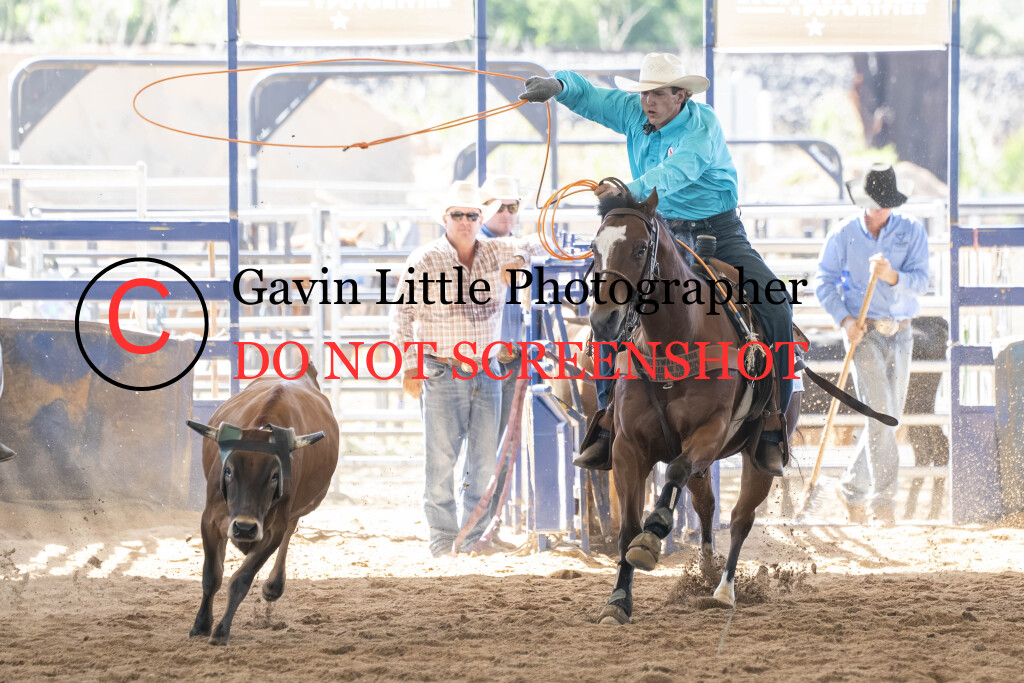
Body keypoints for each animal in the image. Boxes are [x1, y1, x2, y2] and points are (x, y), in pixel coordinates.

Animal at [185, 364, 339, 646]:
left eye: (275, 476)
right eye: (228, 471)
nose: (245, 528)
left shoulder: (272, 531)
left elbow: (241, 580)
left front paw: (221, 630)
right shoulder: (210, 520)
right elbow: (212, 576)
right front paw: (201, 625)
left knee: (289, 531)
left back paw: (273, 586)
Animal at [587, 186, 799, 625]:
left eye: (640, 249)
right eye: (594, 249)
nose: (603, 320)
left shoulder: (709, 434)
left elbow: (674, 473)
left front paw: (655, 532)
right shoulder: (627, 447)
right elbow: (627, 528)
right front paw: (618, 600)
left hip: (758, 459)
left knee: (739, 519)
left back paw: (723, 591)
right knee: (706, 504)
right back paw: (705, 569)